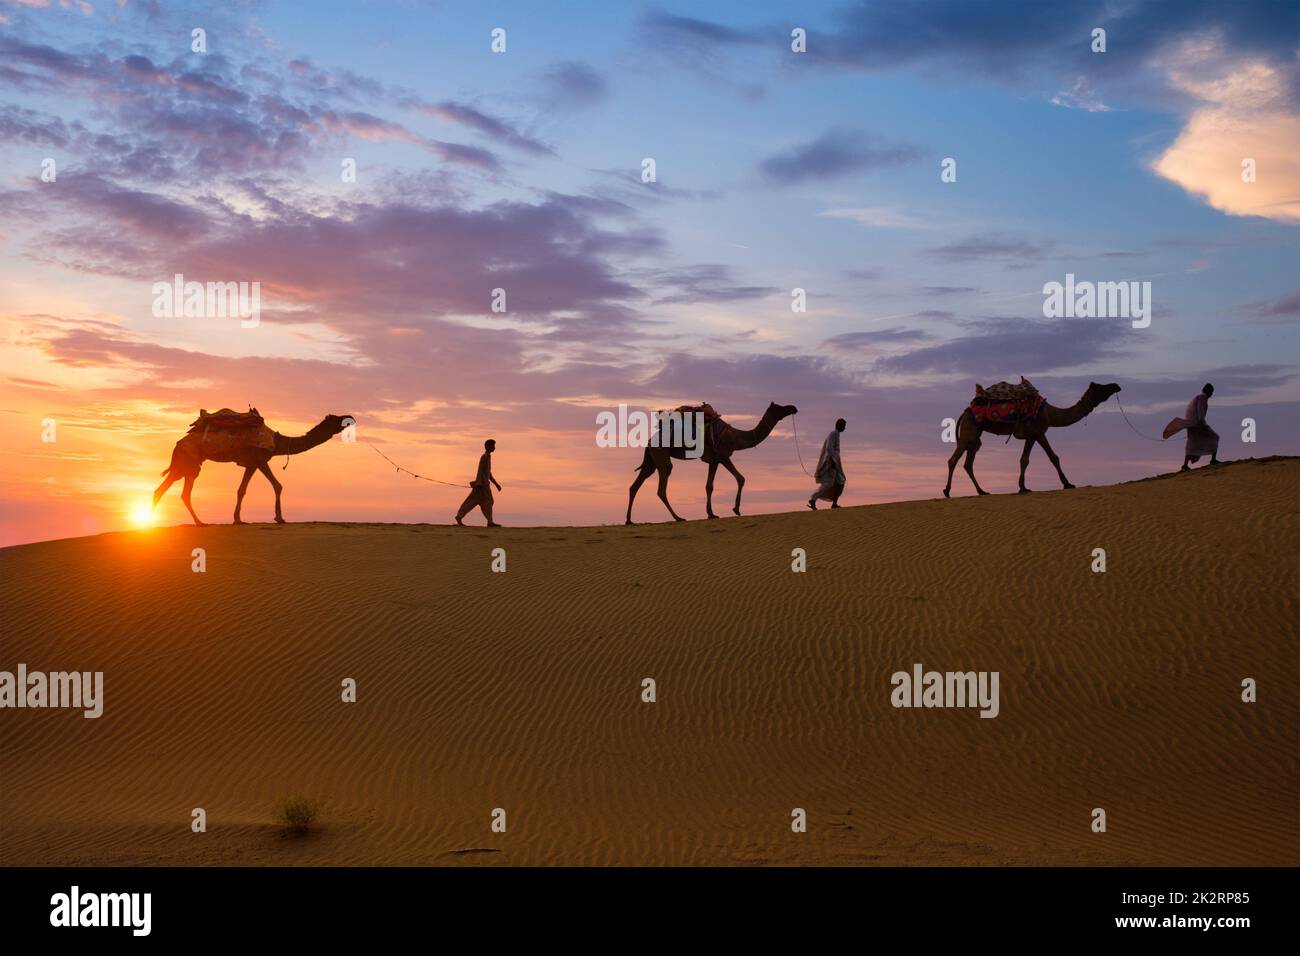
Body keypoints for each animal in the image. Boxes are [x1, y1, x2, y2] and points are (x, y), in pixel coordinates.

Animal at [152, 416, 353, 528]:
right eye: (338, 419)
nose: (351, 418)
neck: (277, 442)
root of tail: (177, 444)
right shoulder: (258, 460)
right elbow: (272, 486)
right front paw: (278, 518)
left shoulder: (255, 462)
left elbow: (248, 489)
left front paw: (239, 519)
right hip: (186, 462)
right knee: (167, 490)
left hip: (189, 466)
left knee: (174, 492)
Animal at [626, 403, 795, 528]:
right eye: (779, 407)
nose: (793, 408)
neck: (736, 437)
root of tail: (649, 442)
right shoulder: (722, 456)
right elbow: (738, 479)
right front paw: (734, 510)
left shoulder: (715, 460)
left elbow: (712, 485)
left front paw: (713, 513)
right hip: (661, 455)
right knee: (662, 487)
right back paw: (678, 517)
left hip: (651, 460)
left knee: (635, 485)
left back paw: (629, 520)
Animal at [941, 382, 1123, 502]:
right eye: (1101, 387)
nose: (1116, 385)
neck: (1050, 413)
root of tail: (965, 412)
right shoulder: (1038, 432)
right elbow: (1052, 457)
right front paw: (1068, 484)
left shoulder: (1031, 436)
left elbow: (1026, 459)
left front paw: (1023, 487)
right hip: (969, 431)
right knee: (953, 460)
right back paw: (947, 491)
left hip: (975, 434)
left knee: (968, 463)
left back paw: (982, 491)